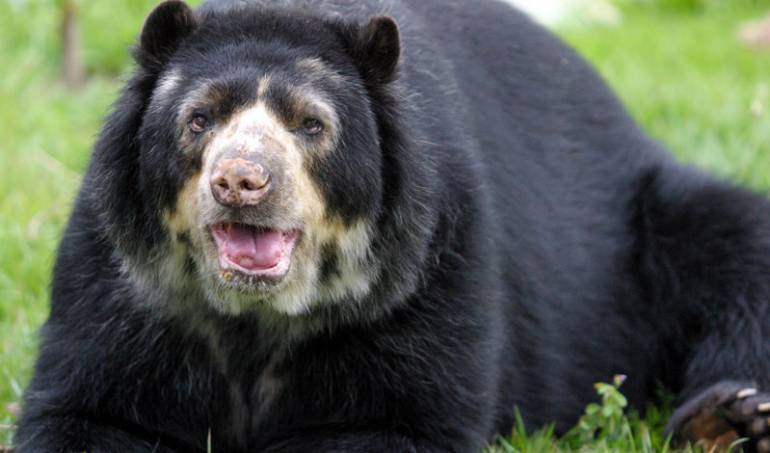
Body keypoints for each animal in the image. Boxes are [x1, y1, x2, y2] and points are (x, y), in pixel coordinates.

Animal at [14, 0, 770, 451]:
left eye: (311, 124)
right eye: (199, 118)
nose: (241, 182)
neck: (254, 318)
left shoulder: (426, 272)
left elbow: (398, 416)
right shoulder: (120, 279)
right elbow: (89, 408)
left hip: (651, 224)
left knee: (739, 254)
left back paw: (733, 416)